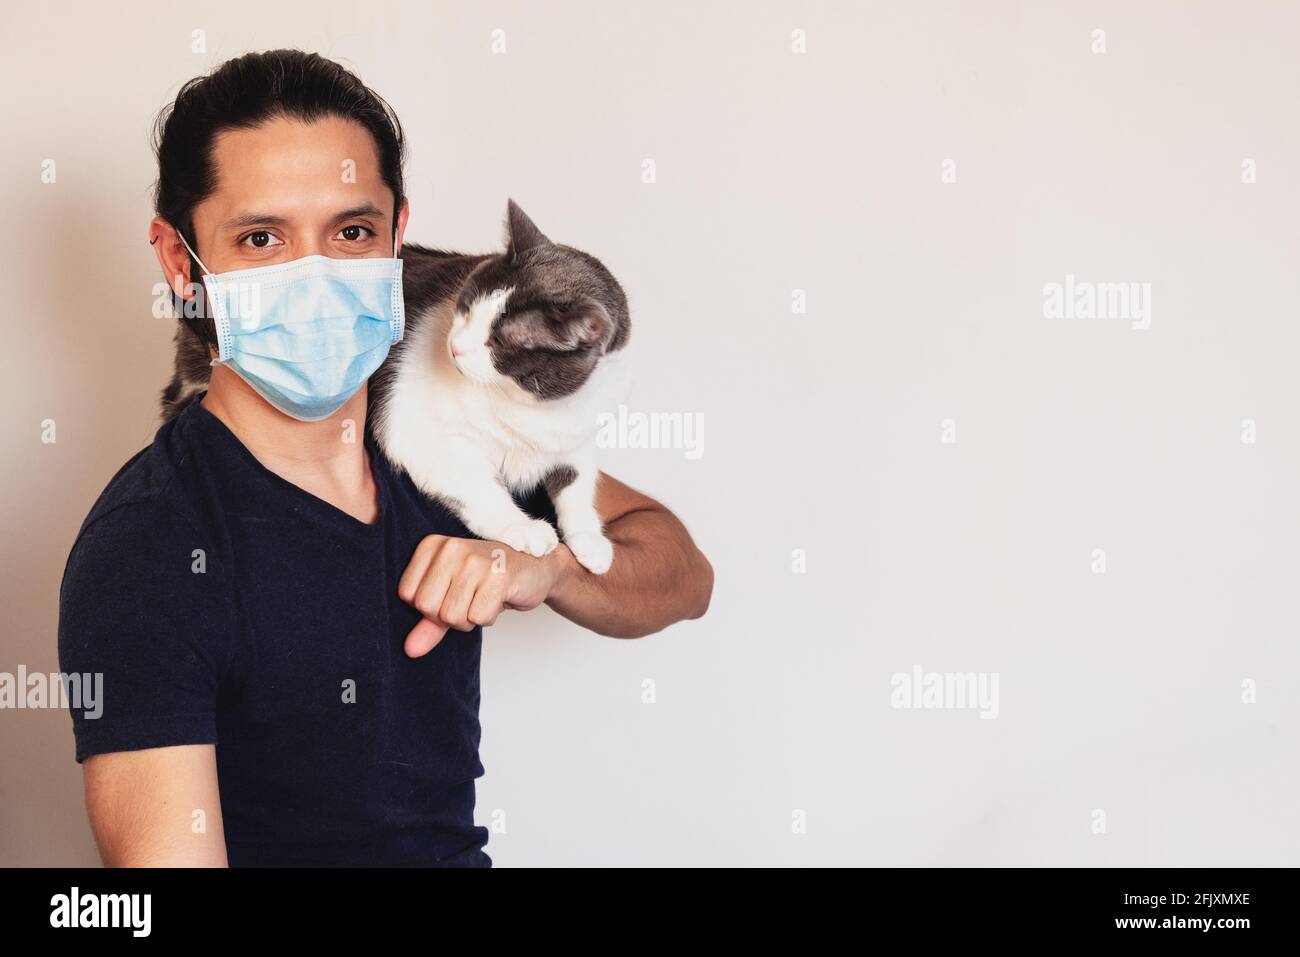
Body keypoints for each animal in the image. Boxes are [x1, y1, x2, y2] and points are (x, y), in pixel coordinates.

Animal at [162, 201, 629, 572]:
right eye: (464, 307)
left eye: (499, 341)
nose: (454, 346)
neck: (529, 406)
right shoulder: (417, 432)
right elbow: (477, 487)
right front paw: (522, 527)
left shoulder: (575, 436)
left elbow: (575, 484)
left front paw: (590, 540)